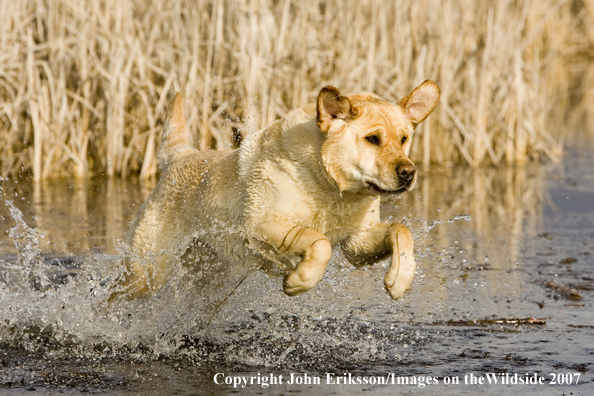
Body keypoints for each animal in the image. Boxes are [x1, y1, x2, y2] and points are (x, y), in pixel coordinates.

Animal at [114, 83, 440, 300]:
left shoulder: (356, 243)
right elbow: (319, 241)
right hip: (146, 274)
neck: (330, 187)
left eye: (404, 138)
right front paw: (300, 280)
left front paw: (400, 279)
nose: (408, 172)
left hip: (209, 276)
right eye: (373, 139)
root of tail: (180, 156)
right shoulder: (262, 225)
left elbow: (401, 230)